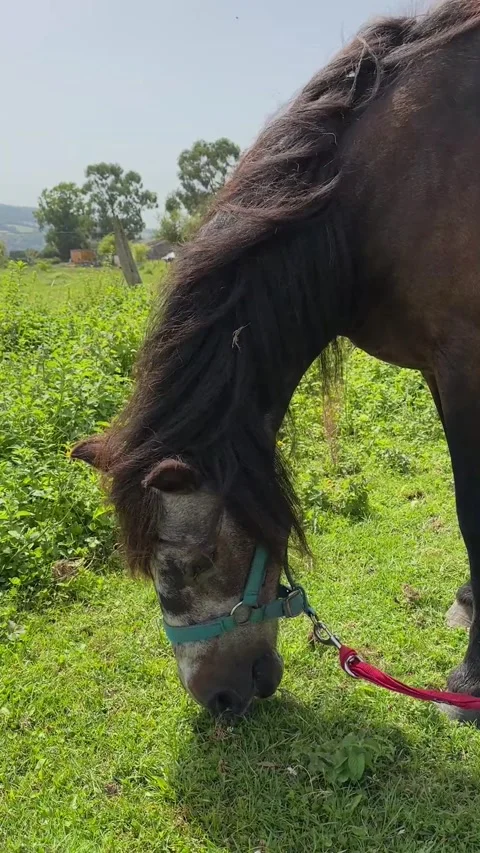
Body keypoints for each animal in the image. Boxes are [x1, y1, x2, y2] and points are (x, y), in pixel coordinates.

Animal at [72, 0, 480, 722]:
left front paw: (469, 677)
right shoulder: (437, 365)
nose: (218, 697)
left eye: (196, 562)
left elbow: (471, 508)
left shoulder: (464, 358)